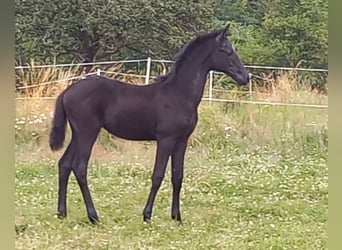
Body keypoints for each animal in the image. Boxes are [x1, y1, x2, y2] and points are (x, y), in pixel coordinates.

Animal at [48, 24, 248, 225]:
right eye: (227, 51)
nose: (245, 77)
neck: (179, 94)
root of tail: (67, 92)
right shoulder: (166, 139)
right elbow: (158, 175)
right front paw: (147, 215)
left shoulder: (182, 140)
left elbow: (177, 175)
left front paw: (177, 217)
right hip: (88, 132)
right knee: (80, 167)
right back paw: (93, 216)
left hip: (77, 134)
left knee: (65, 164)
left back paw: (61, 213)